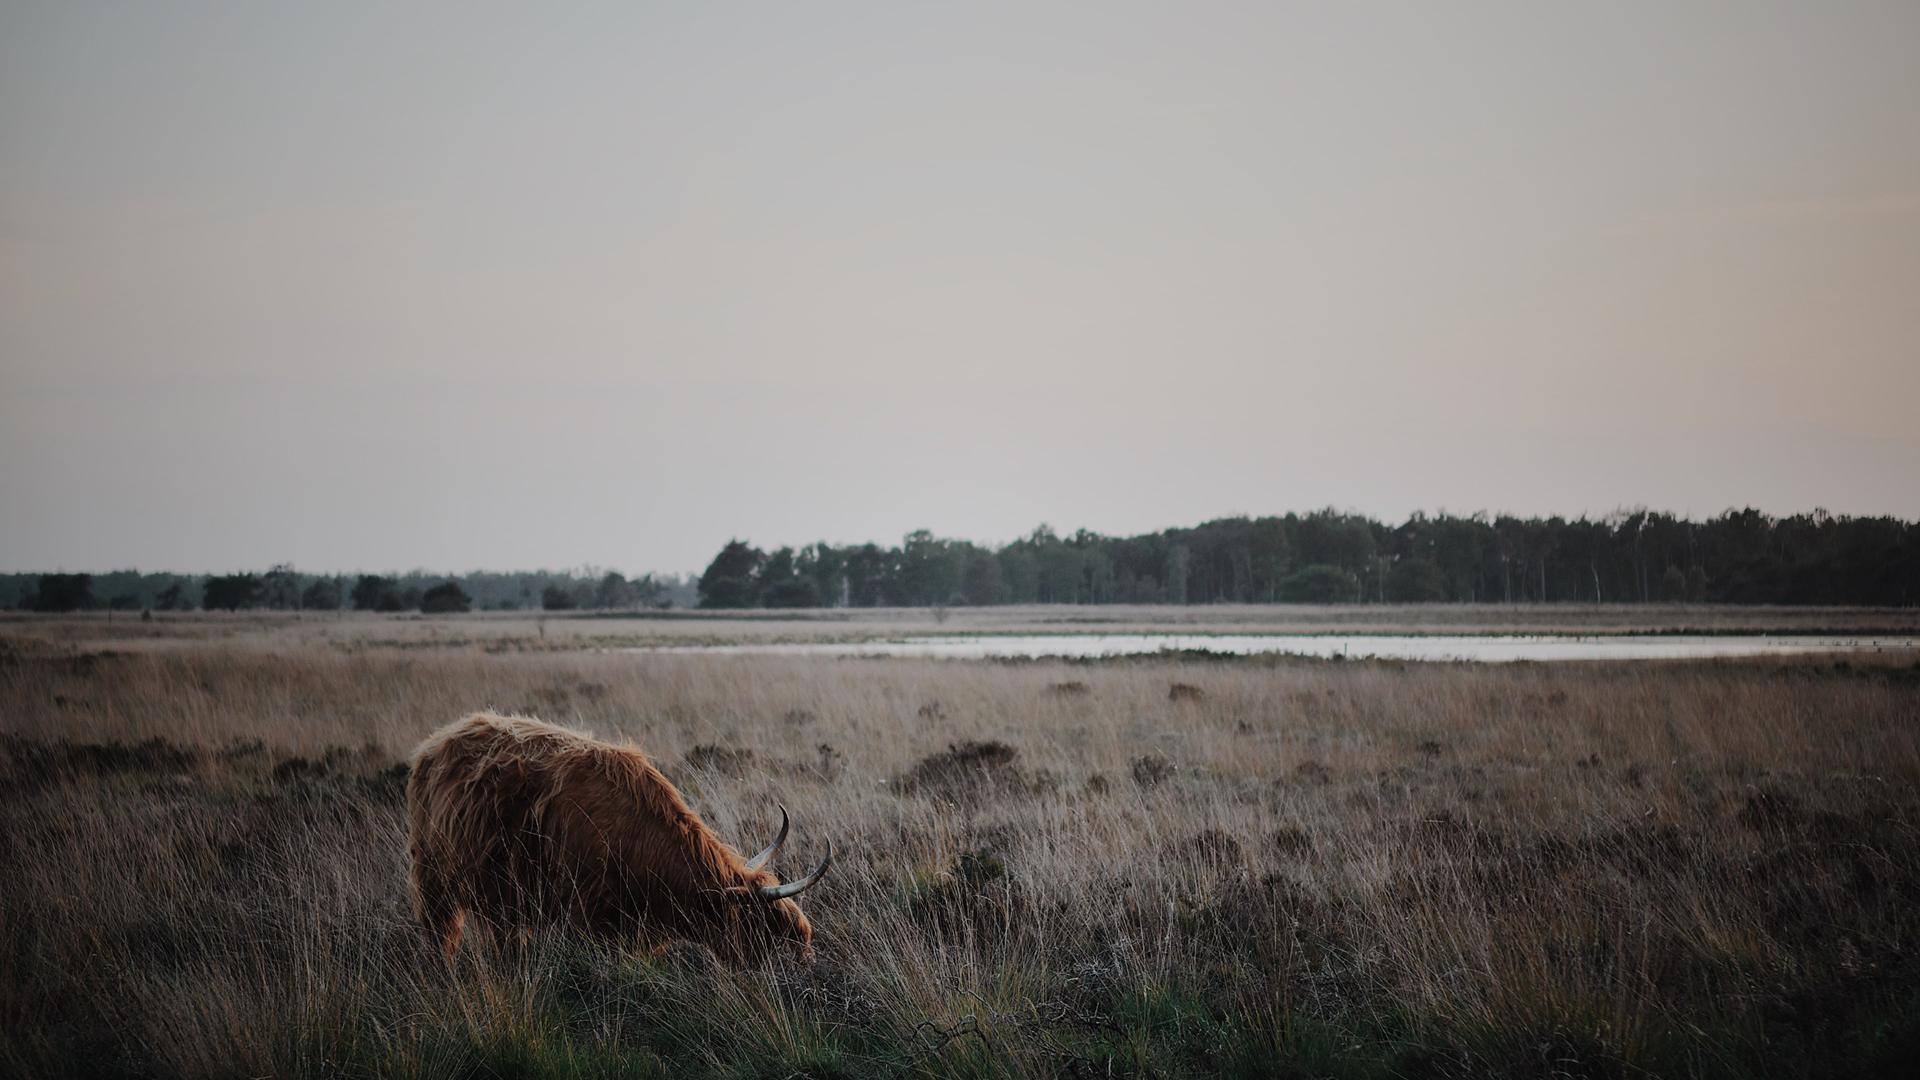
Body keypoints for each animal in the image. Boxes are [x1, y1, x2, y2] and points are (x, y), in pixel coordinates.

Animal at [401, 711, 829, 960]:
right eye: (769, 934)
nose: (804, 971)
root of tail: (437, 741)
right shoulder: (584, 916)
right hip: (433, 879)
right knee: (441, 936)